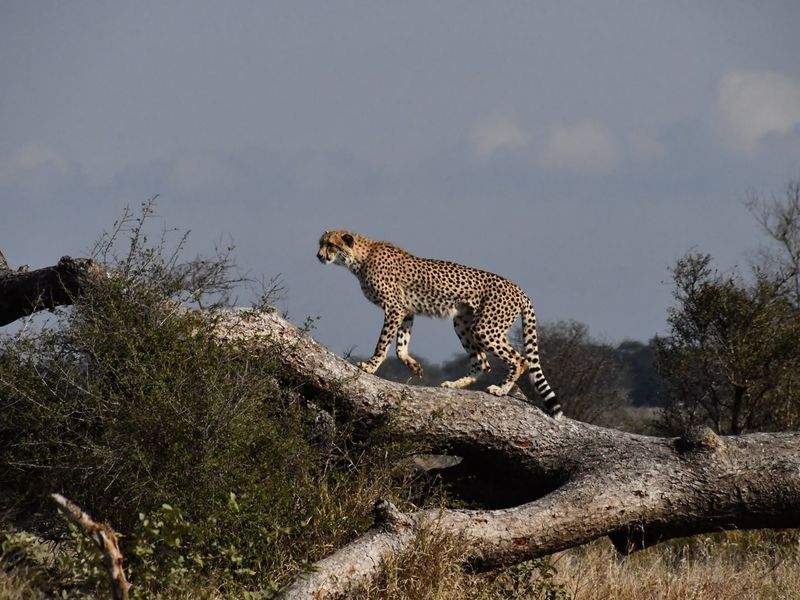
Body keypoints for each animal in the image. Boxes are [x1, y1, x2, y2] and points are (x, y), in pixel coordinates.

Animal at [317, 230, 562, 418]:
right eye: (321, 243)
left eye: (330, 245)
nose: (318, 255)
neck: (361, 257)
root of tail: (519, 289)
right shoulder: (406, 310)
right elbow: (400, 345)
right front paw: (413, 365)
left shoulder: (394, 308)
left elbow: (383, 343)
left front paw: (370, 366)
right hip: (463, 323)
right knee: (482, 362)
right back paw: (454, 385)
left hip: (485, 328)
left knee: (520, 360)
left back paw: (500, 390)